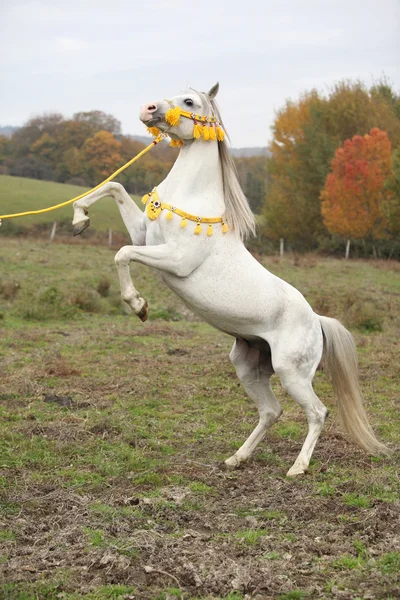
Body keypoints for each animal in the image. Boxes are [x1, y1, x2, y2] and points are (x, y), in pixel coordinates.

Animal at [72, 83, 388, 478]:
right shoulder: (145, 234)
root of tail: (317, 320)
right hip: (248, 366)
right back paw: (237, 458)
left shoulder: (174, 259)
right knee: (271, 411)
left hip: (292, 373)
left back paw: (297, 469)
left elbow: (123, 253)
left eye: (189, 101)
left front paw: (138, 305)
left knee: (317, 412)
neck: (194, 198)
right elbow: (114, 187)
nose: (148, 109)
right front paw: (79, 219)